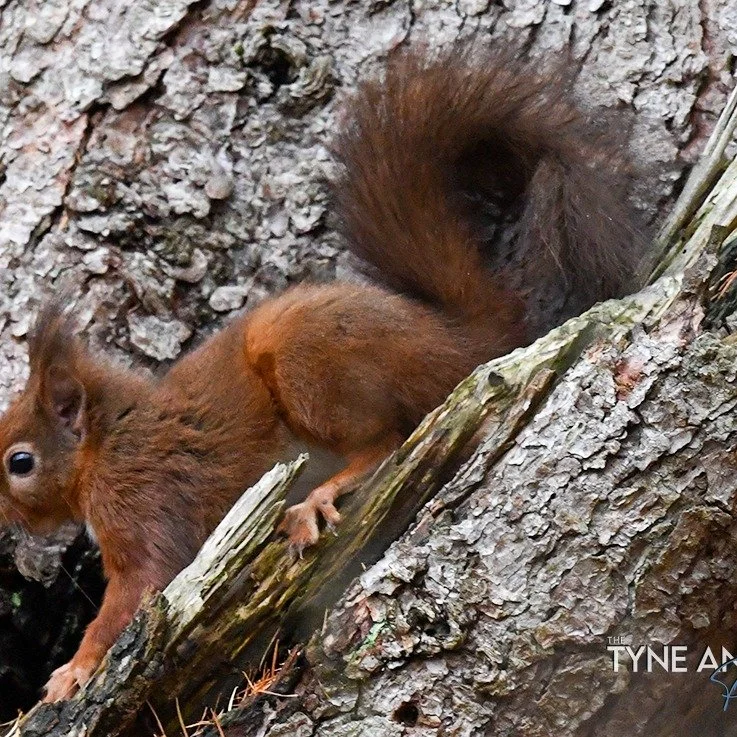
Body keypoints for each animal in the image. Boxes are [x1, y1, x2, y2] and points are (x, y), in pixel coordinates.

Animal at [0, 44, 643, 702]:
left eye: (19, 462)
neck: (106, 438)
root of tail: (453, 338)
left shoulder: (138, 495)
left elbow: (136, 591)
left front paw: (72, 672)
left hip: (305, 364)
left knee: (384, 442)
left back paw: (315, 500)